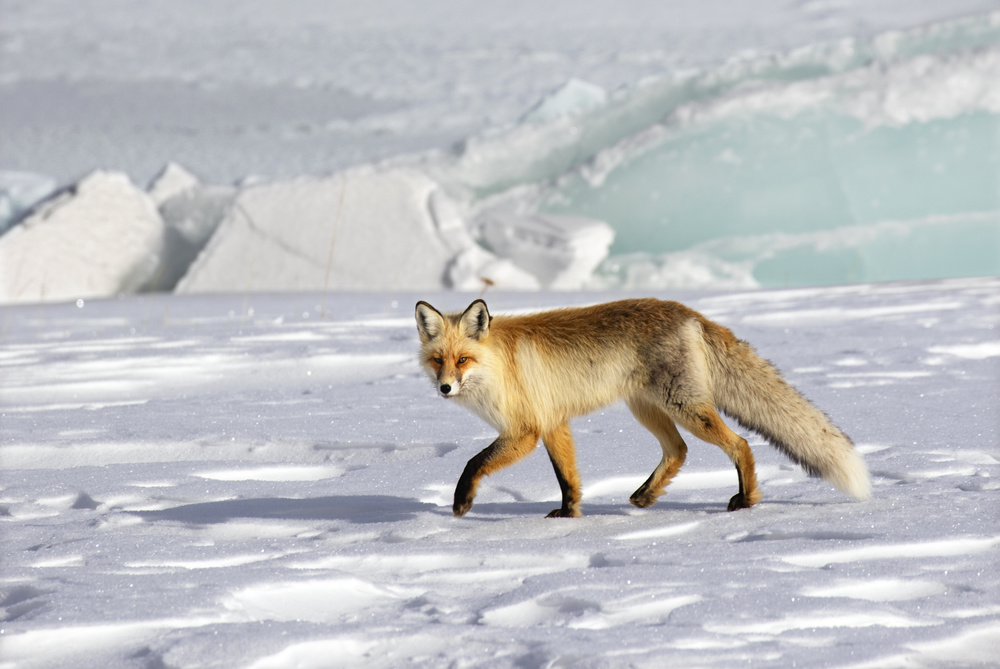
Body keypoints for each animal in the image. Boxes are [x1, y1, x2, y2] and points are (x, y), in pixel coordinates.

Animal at [415, 298, 871, 518]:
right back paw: (645, 496)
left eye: (463, 360)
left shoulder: (525, 430)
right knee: (679, 451)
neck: (498, 366)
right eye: (438, 360)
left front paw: (461, 503)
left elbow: (473, 463)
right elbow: (568, 478)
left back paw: (746, 500)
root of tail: (690, 312)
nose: (444, 388)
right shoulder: (553, 422)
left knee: (739, 443)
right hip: (648, 409)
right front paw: (569, 515)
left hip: (685, 407)